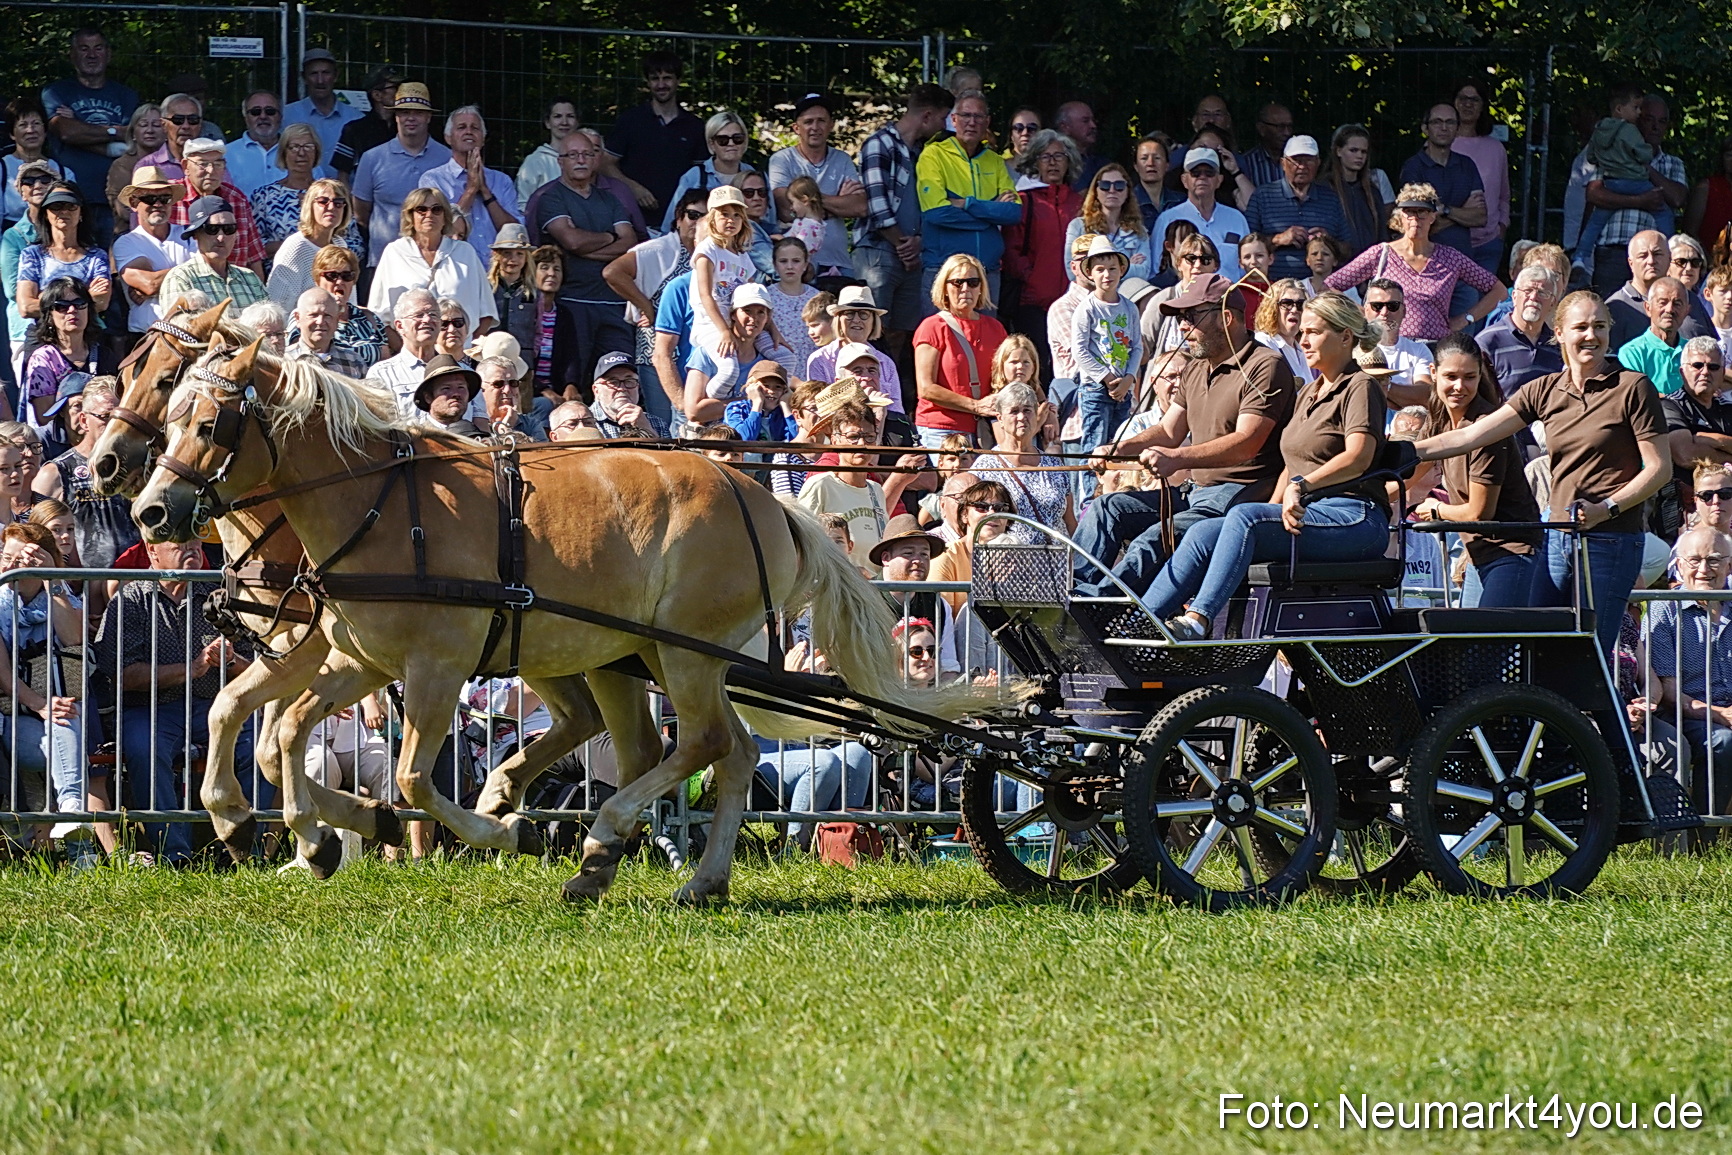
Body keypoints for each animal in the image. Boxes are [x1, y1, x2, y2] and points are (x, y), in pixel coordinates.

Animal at [132, 338, 999, 904]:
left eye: (208, 424)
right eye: (165, 413)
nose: (149, 508)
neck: (377, 504)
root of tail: (769, 502)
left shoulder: (433, 666)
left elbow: (403, 771)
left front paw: (495, 830)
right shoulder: (358, 658)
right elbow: (273, 728)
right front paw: (314, 831)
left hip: (681, 654)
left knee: (701, 743)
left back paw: (599, 834)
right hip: (637, 655)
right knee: (720, 749)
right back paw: (685, 873)